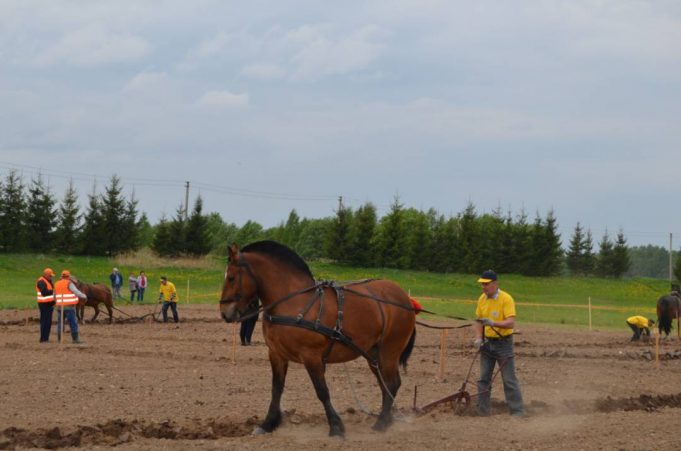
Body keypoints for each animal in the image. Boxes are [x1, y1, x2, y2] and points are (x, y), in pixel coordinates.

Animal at [220, 244, 418, 438]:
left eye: (231, 278)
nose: (224, 313)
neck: (293, 302)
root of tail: (405, 298)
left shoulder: (311, 356)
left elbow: (322, 391)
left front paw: (336, 427)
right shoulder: (276, 354)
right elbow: (276, 389)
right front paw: (268, 424)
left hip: (389, 351)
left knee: (391, 384)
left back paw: (381, 423)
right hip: (373, 354)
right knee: (386, 385)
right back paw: (387, 420)